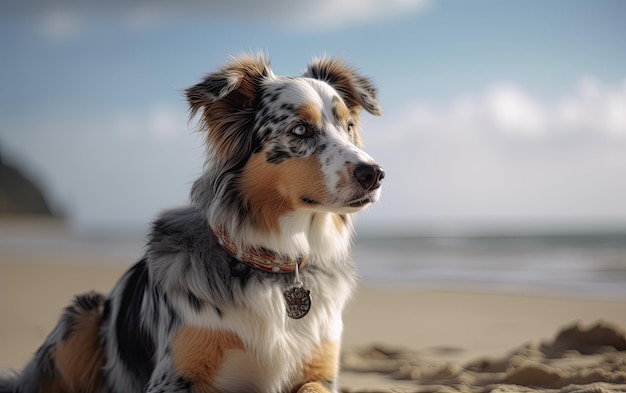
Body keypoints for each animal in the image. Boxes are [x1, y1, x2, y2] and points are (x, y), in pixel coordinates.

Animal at [0, 54, 382, 392]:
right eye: (300, 129)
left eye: (349, 127)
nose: (374, 174)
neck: (274, 267)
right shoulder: (173, 377)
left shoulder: (320, 372)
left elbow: (311, 385)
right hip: (83, 314)